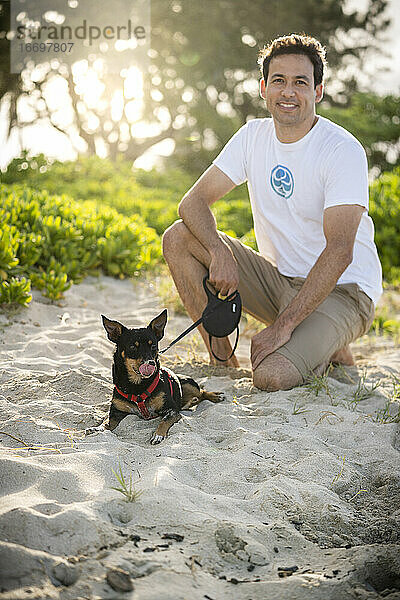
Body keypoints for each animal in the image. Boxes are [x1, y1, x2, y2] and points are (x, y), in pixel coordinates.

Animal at [86, 310, 225, 446]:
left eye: (153, 346)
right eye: (133, 347)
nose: (151, 363)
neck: (137, 385)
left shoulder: (171, 410)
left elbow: (164, 421)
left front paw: (158, 435)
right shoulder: (116, 412)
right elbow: (107, 423)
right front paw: (97, 428)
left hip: (188, 384)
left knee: (201, 392)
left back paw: (216, 396)